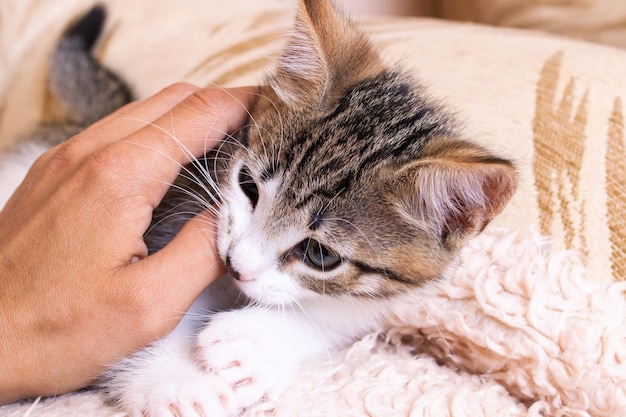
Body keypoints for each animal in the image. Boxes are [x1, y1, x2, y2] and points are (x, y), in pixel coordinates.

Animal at [0, 0, 516, 416]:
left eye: (321, 255)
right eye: (247, 186)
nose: (236, 264)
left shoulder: (388, 297)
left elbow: (333, 315)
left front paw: (254, 344)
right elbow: (139, 324)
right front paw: (175, 381)